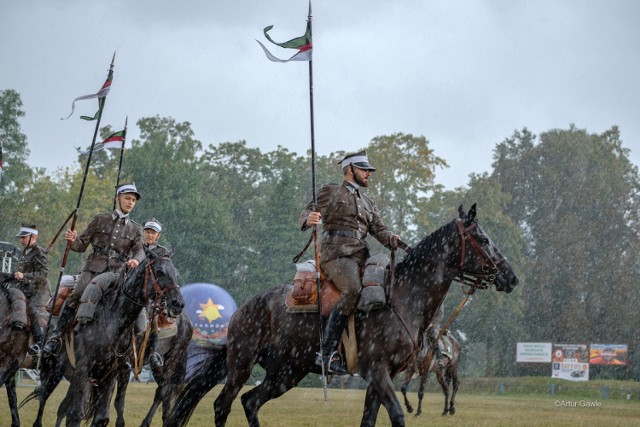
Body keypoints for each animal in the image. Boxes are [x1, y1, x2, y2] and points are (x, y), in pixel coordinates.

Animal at [21, 254, 182, 427]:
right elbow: (75, 415)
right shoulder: (83, 373)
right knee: (43, 400)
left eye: (176, 273)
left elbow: (101, 417)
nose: (178, 303)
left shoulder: (109, 376)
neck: (114, 322)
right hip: (52, 371)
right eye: (159, 271)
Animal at [171, 205, 520, 427]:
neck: (402, 297)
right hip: (242, 364)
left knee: (250, 402)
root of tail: (246, 307)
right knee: (223, 404)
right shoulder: (377, 372)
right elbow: (398, 416)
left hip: (286, 373)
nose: (511, 277)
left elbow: (370, 419)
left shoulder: (382, 378)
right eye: (484, 239)